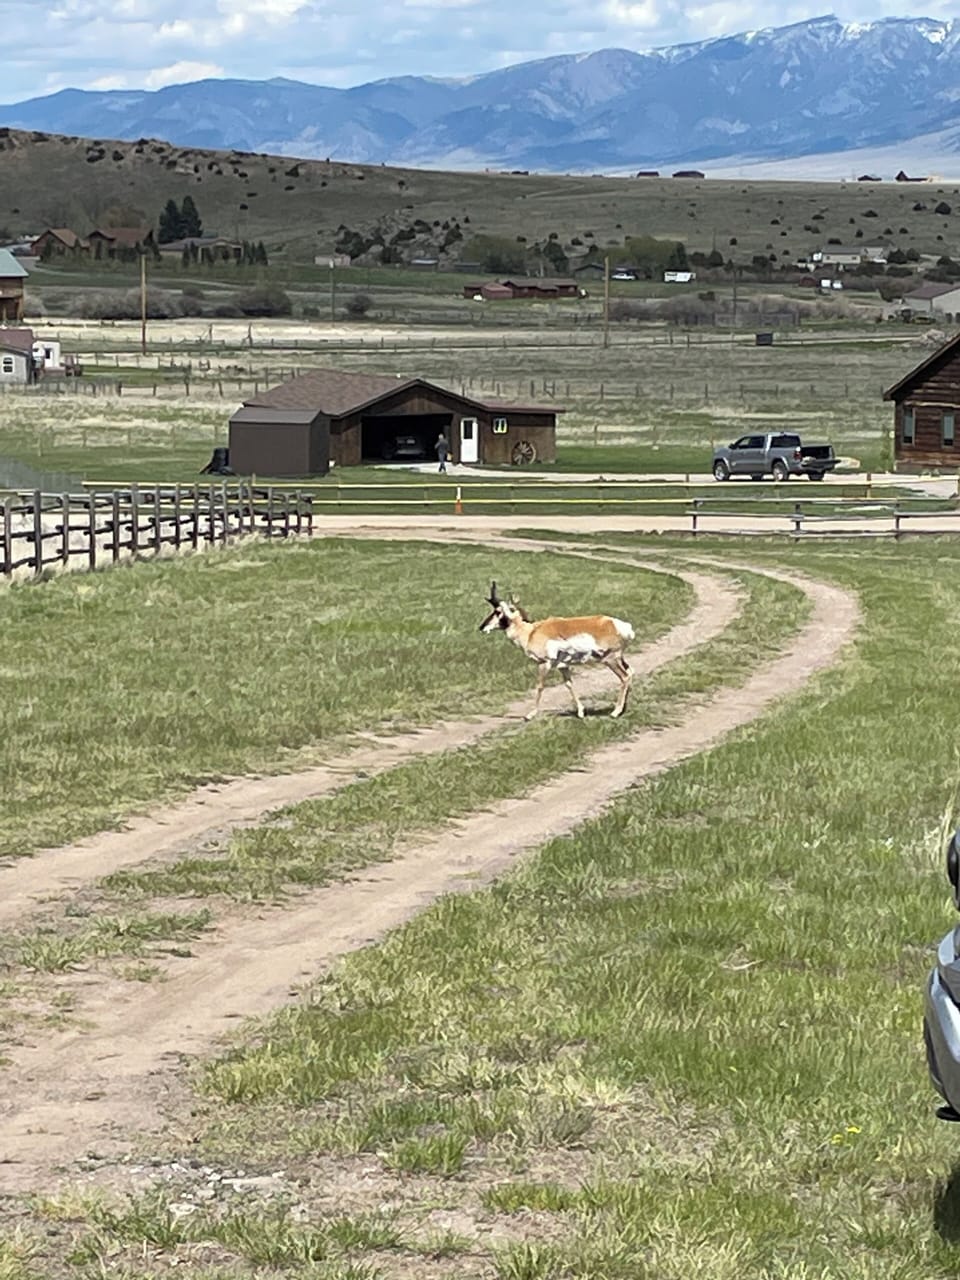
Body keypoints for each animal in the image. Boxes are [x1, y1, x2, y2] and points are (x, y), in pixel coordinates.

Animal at [479, 581, 634, 720]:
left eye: (497, 611)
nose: (481, 627)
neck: (531, 632)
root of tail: (617, 624)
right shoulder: (562, 665)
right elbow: (569, 684)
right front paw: (581, 712)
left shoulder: (544, 663)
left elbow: (540, 686)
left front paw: (530, 715)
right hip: (619, 658)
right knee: (630, 671)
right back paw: (622, 709)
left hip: (610, 659)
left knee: (625, 676)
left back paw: (615, 712)